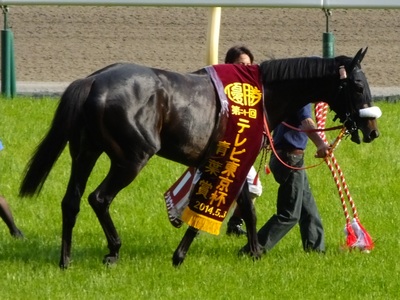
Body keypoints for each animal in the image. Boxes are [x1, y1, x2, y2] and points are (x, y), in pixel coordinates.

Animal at [20, 48, 380, 268]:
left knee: (71, 200)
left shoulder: (232, 163)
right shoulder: (231, 161)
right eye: (357, 85)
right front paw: (181, 255)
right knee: (99, 198)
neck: (261, 94)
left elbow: (245, 210)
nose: (372, 128)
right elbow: (214, 209)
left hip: (85, 152)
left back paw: (65, 260)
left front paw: (254, 251)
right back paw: (113, 249)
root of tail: (93, 81)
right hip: (131, 158)